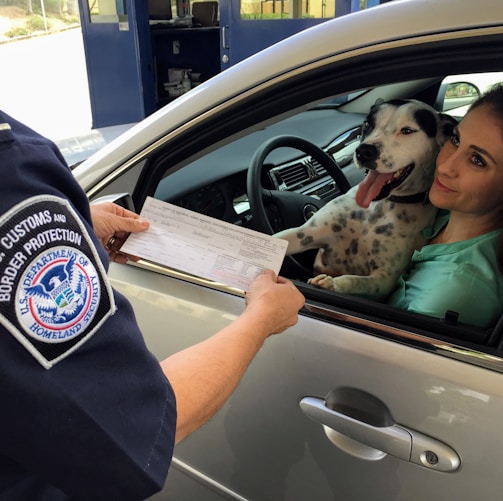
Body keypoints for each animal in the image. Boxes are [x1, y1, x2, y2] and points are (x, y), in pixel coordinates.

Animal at [274, 99, 458, 298]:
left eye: (407, 130)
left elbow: (354, 280)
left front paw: (332, 282)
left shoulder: (385, 279)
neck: (379, 207)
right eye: (368, 124)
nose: (364, 151)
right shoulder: (304, 234)